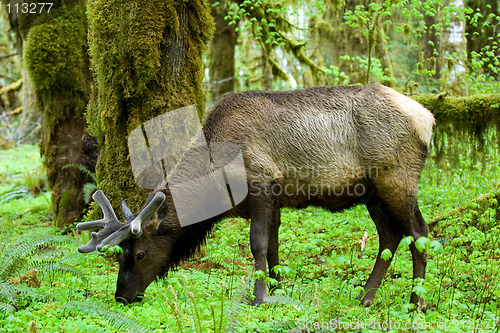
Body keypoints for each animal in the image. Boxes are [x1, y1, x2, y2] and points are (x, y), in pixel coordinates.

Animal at [77, 84, 434, 308]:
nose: (122, 295)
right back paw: (365, 297)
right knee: (390, 236)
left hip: (397, 179)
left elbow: (258, 244)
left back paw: (416, 302)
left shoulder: (262, 184)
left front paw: (259, 297)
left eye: (139, 254)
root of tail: (427, 118)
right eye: (120, 254)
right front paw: (277, 291)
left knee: (419, 232)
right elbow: (274, 247)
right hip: (373, 193)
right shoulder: (275, 198)